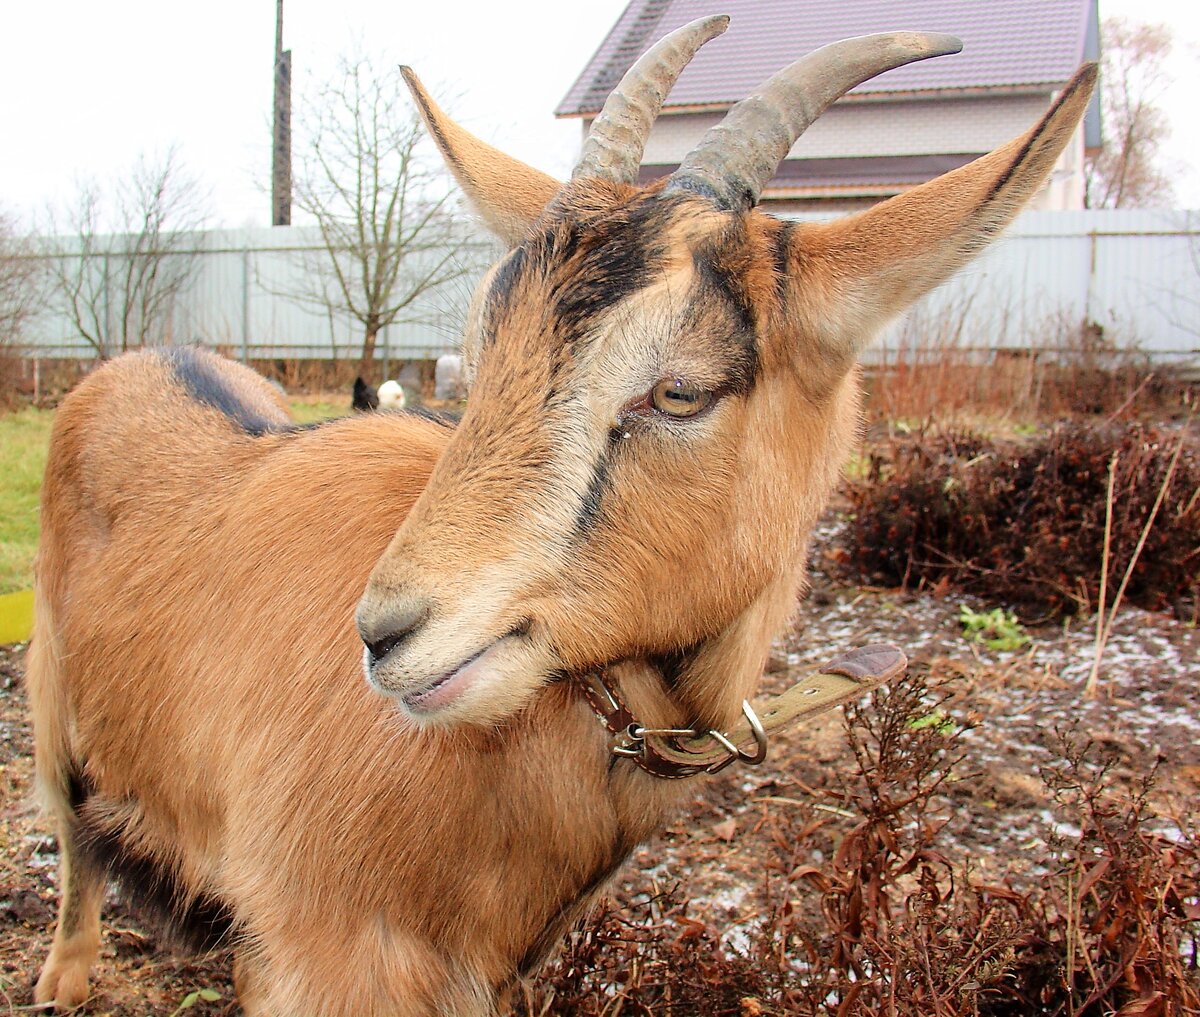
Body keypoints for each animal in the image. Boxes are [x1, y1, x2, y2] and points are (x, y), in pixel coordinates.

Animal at [28, 17, 1099, 1017]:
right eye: (483, 353)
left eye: (678, 392)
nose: (383, 635)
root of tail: (141, 361)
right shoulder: (321, 952)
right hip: (48, 701)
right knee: (72, 836)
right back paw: (63, 977)